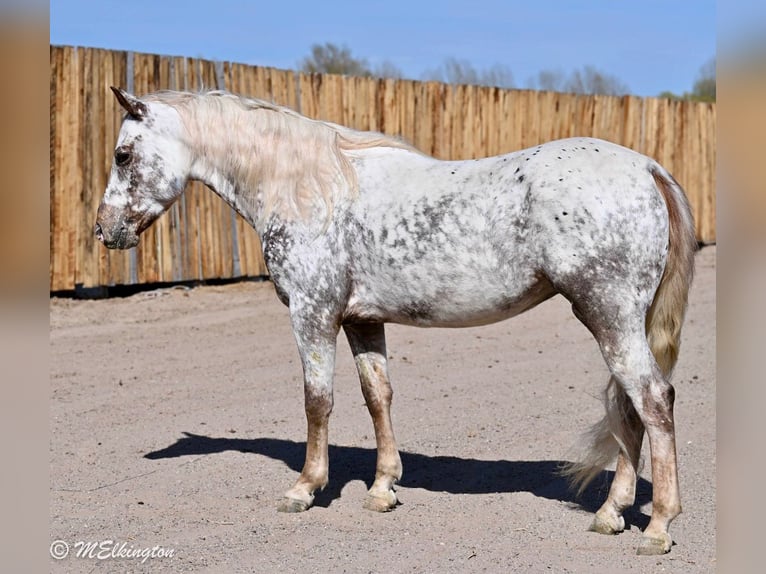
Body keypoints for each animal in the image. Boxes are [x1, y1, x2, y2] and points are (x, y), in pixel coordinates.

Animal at [95, 87, 696, 555]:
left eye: (123, 155)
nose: (105, 231)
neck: (310, 186)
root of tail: (647, 167)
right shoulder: (361, 321)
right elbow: (376, 396)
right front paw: (383, 488)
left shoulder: (313, 313)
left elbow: (317, 402)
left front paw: (305, 488)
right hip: (617, 321)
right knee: (630, 408)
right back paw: (611, 514)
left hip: (608, 315)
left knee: (652, 401)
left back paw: (658, 525)